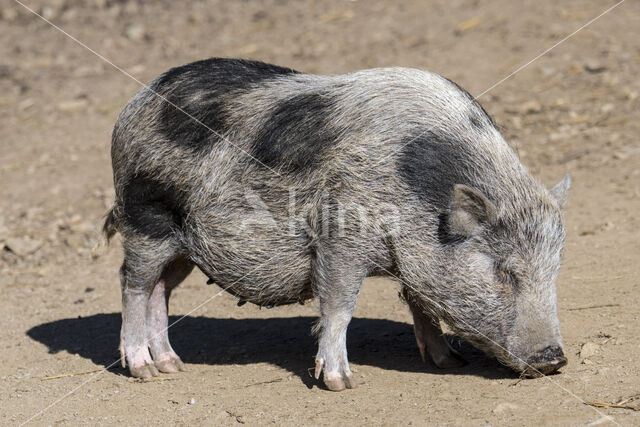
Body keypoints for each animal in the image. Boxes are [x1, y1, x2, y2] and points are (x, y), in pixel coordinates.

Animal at [104, 58, 568, 392]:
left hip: (182, 247)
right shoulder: (339, 240)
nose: (555, 359)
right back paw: (143, 371)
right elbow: (339, 307)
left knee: (161, 290)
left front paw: (449, 362)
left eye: (555, 270)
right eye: (503, 272)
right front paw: (341, 383)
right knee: (132, 282)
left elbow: (420, 304)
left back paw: (173, 366)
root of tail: (135, 102)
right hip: (146, 218)